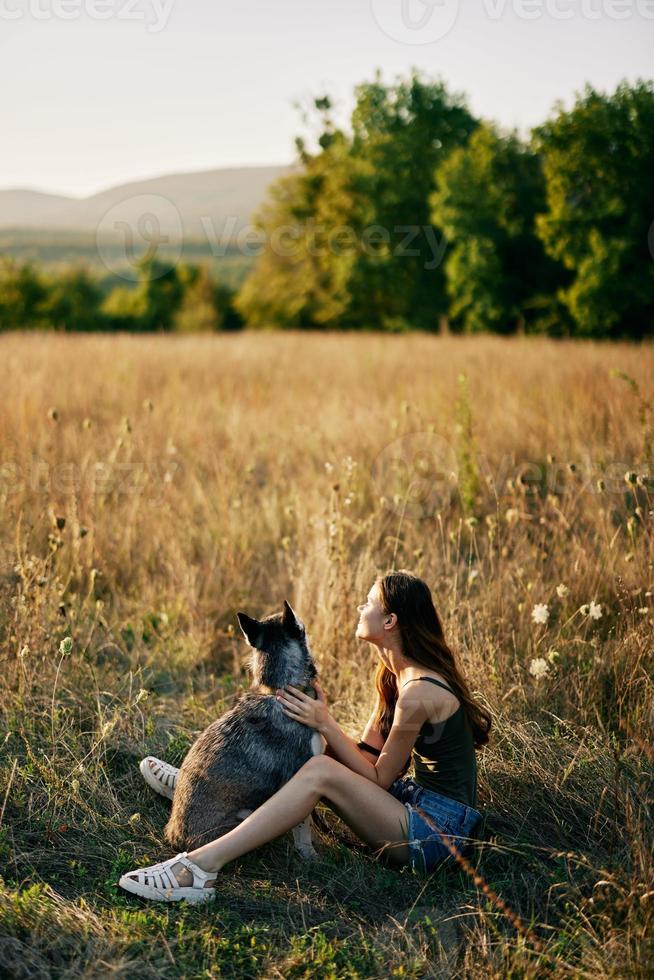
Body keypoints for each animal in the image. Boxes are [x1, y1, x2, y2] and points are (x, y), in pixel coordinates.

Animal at [144, 596, 328, 856]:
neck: (279, 690)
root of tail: (175, 838)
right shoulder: (300, 774)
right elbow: (304, 827)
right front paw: (309, 855)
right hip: (245, 815)